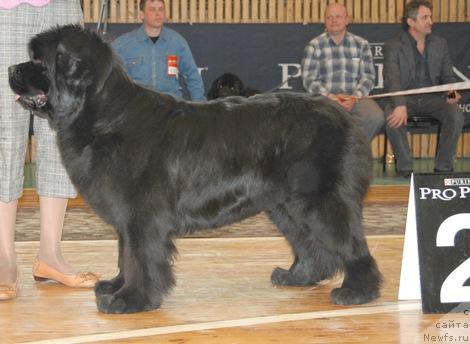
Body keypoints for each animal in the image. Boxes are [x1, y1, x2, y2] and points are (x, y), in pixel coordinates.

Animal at [8, 24, 382, 314]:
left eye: (40, 61)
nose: (11, 69)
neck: (104, 115)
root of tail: (342, 114)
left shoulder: (142, 214)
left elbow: (139, 256)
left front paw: (130, 300)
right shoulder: (128, 217)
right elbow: (124, 254)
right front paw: (115, 286)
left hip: (319, 199)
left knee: (351, 245)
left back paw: (357, 292)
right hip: (285, 205)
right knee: (310, 245)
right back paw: (297, 277)